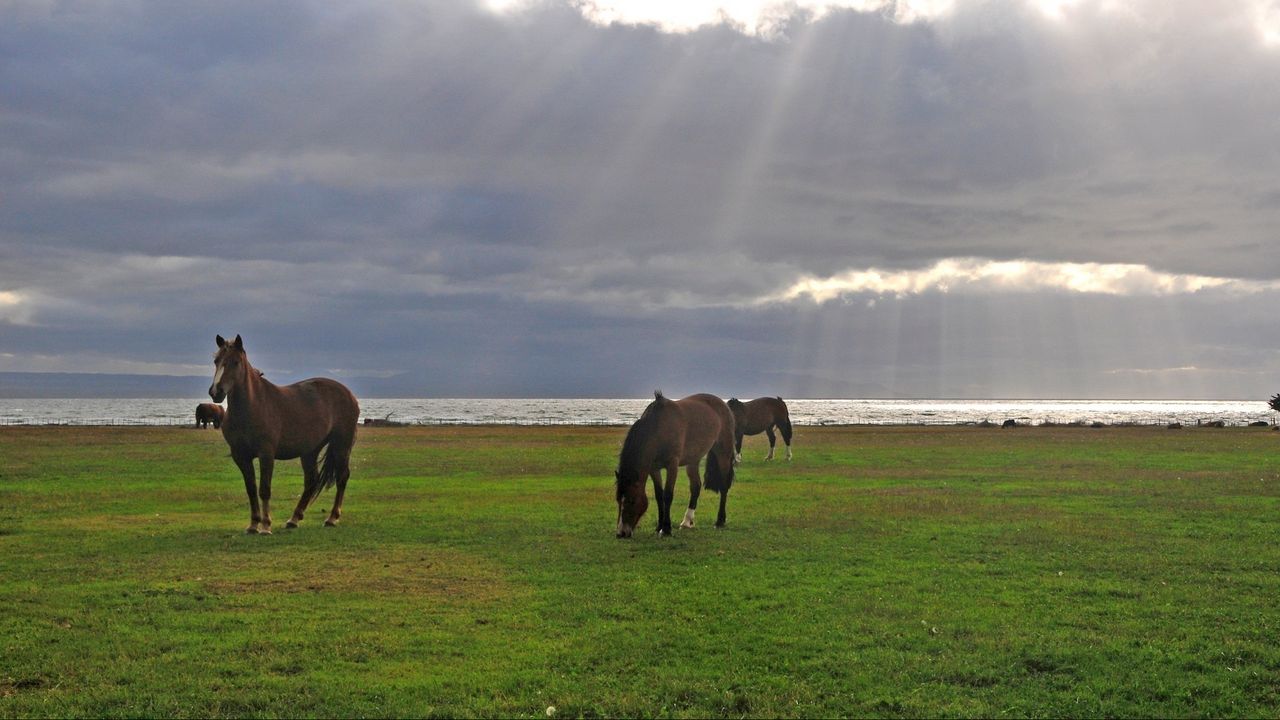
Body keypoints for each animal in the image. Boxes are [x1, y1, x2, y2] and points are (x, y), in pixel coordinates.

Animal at [209, 333, 360, 530]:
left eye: (235, 362)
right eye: (216, 361)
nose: (216, 392)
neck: (253, 406)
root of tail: (349, 394)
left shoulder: (266, 454)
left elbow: (264, 489)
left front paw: (265, 525)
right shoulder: (240, 456)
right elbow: (251, 490)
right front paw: (253, 524)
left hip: (342, 445)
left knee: (342, 477)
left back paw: (332, 518)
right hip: (310, 451)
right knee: (311, 480)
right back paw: (294, 518)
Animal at [614, 389, 737, 535]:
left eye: (632, 500)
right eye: (618, 500)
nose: (621, 533)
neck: (658, 427)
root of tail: (724, 405)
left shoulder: (672, 465)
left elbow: (667, 494)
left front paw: (666, 528)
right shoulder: (654, 469)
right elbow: (659, 495)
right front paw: (659, 526)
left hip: (723, 454)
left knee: (724, 486)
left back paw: (720, 521)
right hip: (693, 460)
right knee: (695, 486)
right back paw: (687, 521)